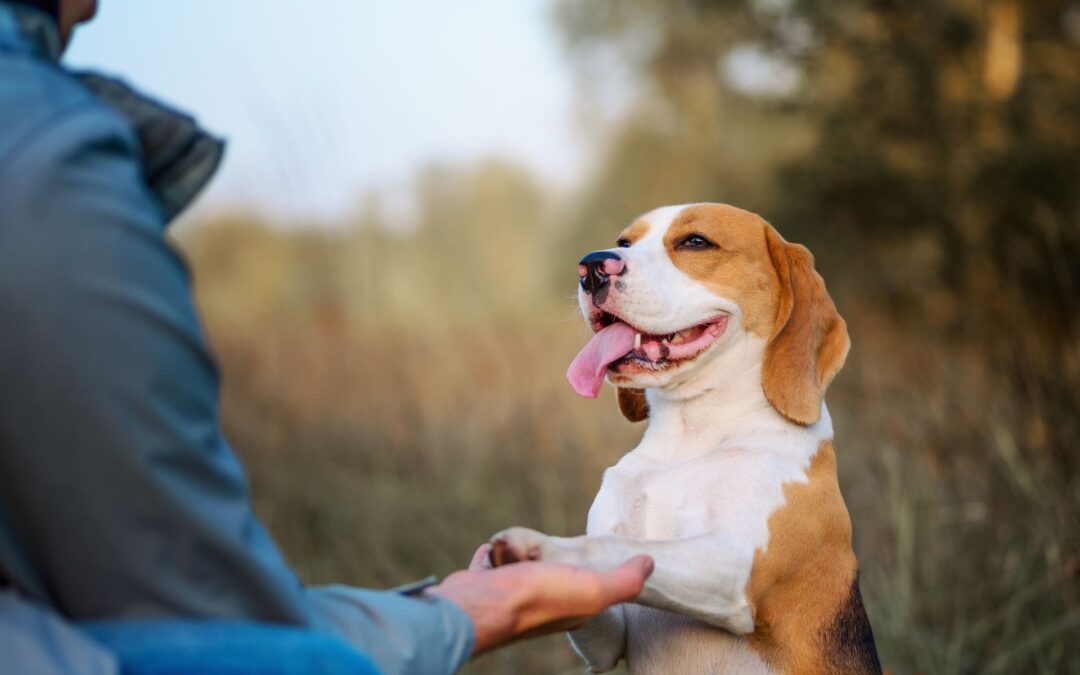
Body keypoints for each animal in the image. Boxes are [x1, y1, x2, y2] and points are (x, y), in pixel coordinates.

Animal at [490, 203, 876, 669]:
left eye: (695, 242)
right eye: (624, 242)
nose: (591, 267)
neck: (691, 436)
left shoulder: (733, 565)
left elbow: (611, 546)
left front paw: (540, 549)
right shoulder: (609, 641)